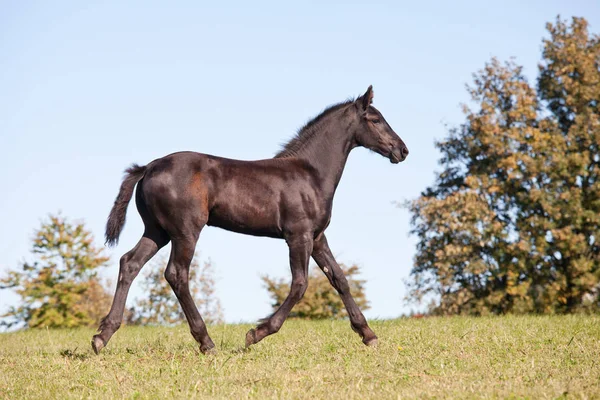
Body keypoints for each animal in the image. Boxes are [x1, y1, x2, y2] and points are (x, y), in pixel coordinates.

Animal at [92, 86, 408, 354]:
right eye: (376, 119)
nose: (402, 150)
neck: (310, 174)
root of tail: (148, 167)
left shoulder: (317, 237)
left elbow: (339, 279)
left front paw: (368, 334)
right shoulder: (298, 236)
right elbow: (300, 284)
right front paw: (256, 333)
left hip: (157, 231)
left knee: (130, 263)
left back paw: (102, 336)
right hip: (185, 231)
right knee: (176, 274)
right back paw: (206, 342)